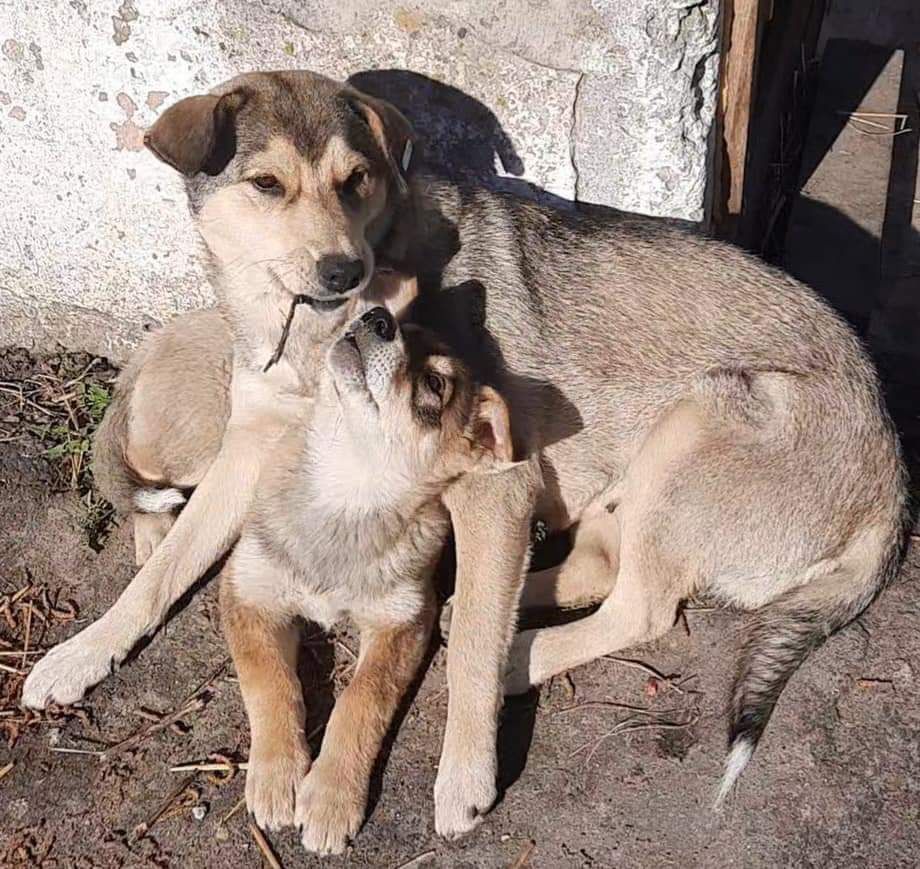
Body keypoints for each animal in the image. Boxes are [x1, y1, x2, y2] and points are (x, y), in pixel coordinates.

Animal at [220, 306, 512, 856]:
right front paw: (277, 774)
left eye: (435, 383)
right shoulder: (249, 594)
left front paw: (332, 796)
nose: (377, 317)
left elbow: (361, 702)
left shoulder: (403, 623)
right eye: (394, 319)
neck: (347, 486)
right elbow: (270, 682)